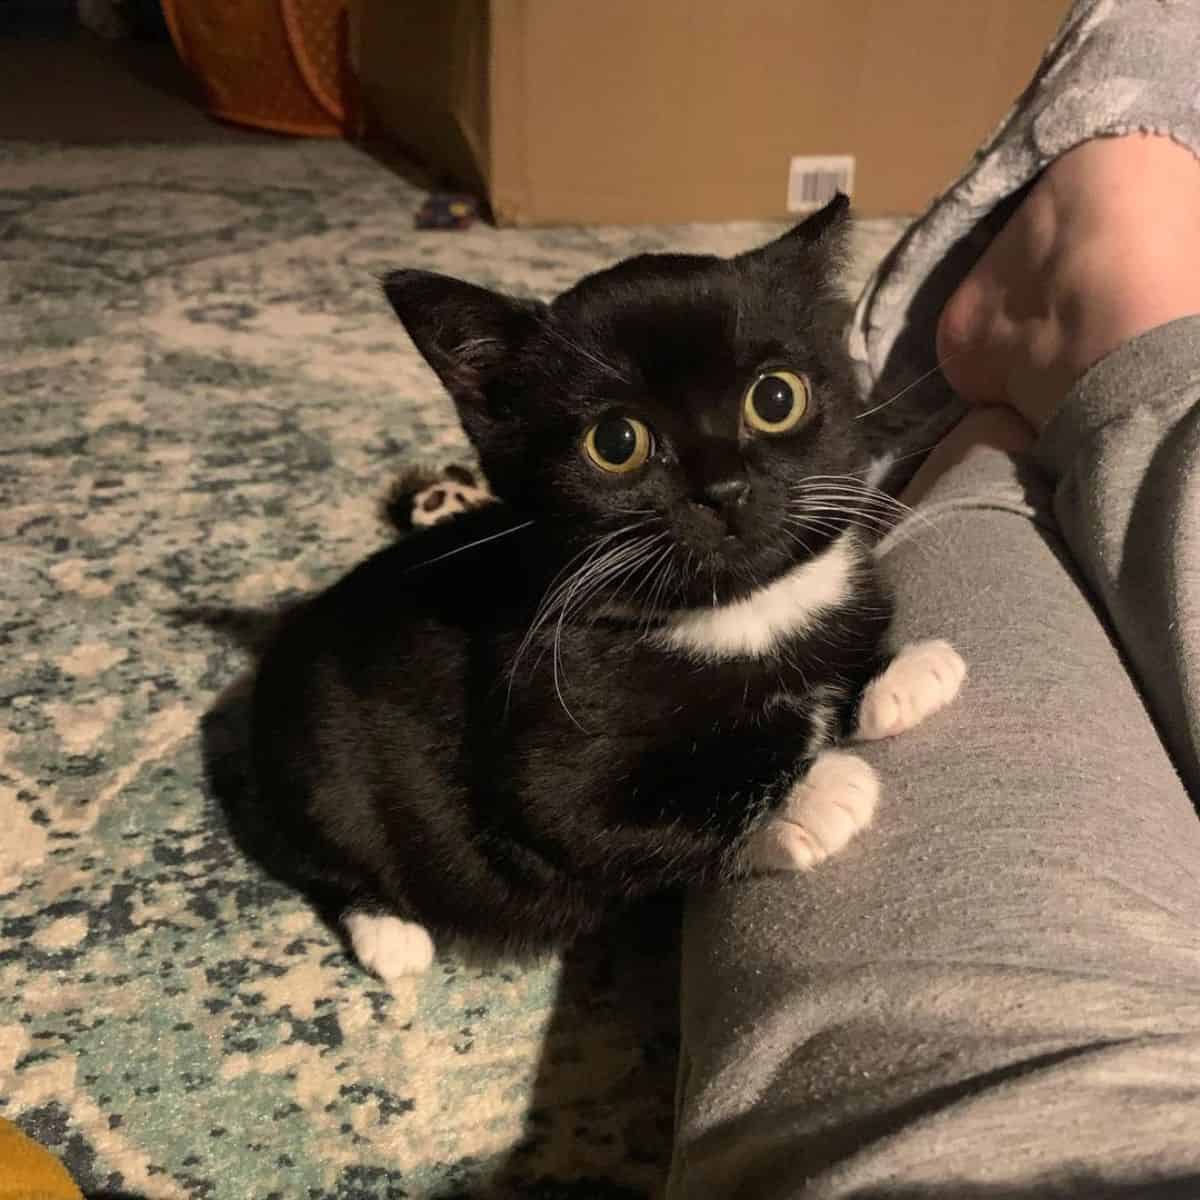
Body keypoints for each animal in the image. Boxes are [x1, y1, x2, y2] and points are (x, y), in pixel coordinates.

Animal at [248, 196, 960, 979]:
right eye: (616, 443)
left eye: (776, 398)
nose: (725, 489)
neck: (738, 612)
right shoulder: (539, 766)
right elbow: (623, 821)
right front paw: (815, 794)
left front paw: (900, 674)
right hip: (317, 773)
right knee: (328, 862)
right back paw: (390, 933)